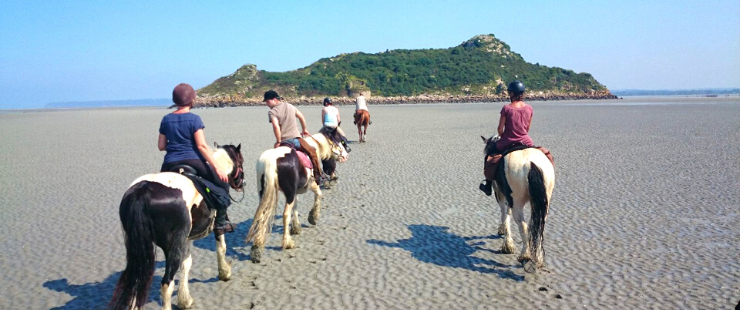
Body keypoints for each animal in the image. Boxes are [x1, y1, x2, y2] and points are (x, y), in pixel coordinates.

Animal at [108, 143, 246, 310]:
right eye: (241, 161)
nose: (242, 184)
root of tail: (143, 191)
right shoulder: (213, 227)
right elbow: (221, 247)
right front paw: (224, 273)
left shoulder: (186, 239)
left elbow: (186, 263)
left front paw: (184, 300)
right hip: (173, 245)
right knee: (167, 283)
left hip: (134, 243)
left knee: (136, 281)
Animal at [244, 132, 346, 262]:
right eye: (338, 143)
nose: (346, 155)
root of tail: (271, 161)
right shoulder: (310, 184)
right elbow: (318, 194)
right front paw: (313, 217)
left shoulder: (295, 192)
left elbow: (296, 206)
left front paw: (296, 227)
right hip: (289, 194)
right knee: (285, 215)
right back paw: (287, 243)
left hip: (264, 193)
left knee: (262, 216)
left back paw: (256, 248)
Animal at [480, 134, 556, 272]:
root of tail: (531, 163)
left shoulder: (500, 194)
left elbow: (504, 214)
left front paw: (506, 242)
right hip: (544, 201)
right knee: (537, 226)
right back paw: (538, 258)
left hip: (517, 202)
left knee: (523, 226)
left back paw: (524, 256)